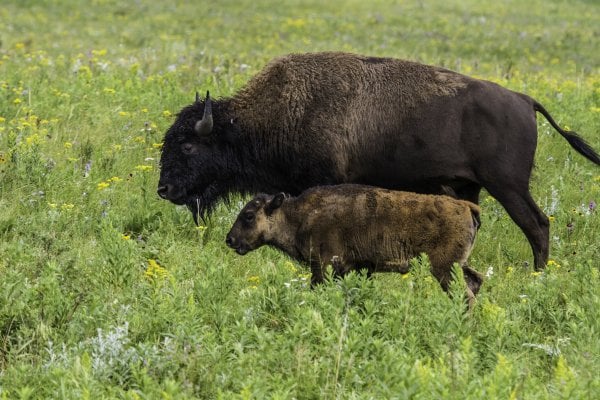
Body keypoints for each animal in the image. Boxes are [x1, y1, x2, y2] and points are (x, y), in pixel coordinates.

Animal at [159, 50, 600, 268]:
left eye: (188, 146)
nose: (164, 189)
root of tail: (524, 100)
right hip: (470, 187)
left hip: (508, 186)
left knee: (538, 225)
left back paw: (538, 274)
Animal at [225, 185, 482, 306]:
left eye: (248, 215)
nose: (229, 239)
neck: (298, 216)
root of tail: (465, 206)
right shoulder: (356, 268)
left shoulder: (324, 267)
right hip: (458, 264)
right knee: (476, 280)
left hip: (444, 268)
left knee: (466, 295)